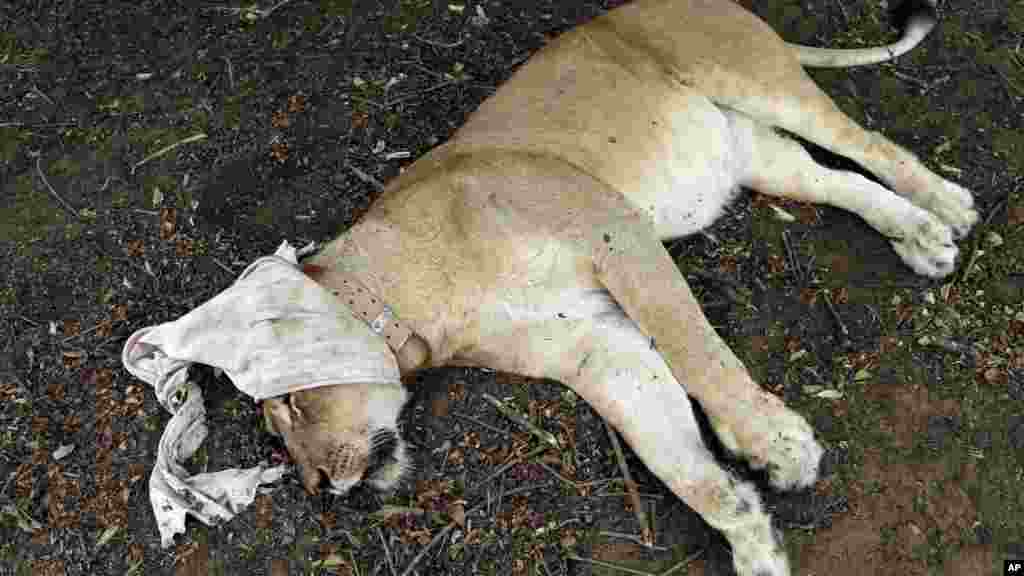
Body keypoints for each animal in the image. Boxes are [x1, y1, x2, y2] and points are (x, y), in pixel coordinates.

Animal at [260, 2, 978, 569]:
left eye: (290, 405)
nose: (318, 484)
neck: (425, 316)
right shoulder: (593, 348)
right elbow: (676, 458)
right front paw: (750, 536)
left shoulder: (616, 234)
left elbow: (698, 351)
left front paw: (770, 441)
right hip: (749, 151)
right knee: (837, 181)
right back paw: (921, 236)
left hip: (758, 82)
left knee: (868, 143)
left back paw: (947, 202)